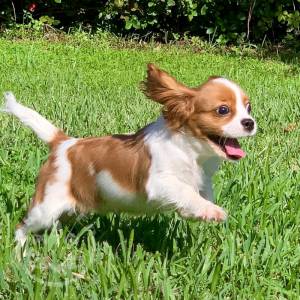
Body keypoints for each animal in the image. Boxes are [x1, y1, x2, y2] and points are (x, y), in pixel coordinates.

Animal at [1, 64, 256, 245]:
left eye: (248, 108)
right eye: (223, 110)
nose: (250, 122)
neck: (192, 152)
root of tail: (64, 143)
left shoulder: (202, 180)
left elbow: (200, 194)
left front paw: (201, 211)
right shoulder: (160, 182)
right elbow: (185, 191)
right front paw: (211, 211)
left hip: (71, 207)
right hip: (46, 207)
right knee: (22, 227)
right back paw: (20, 253)